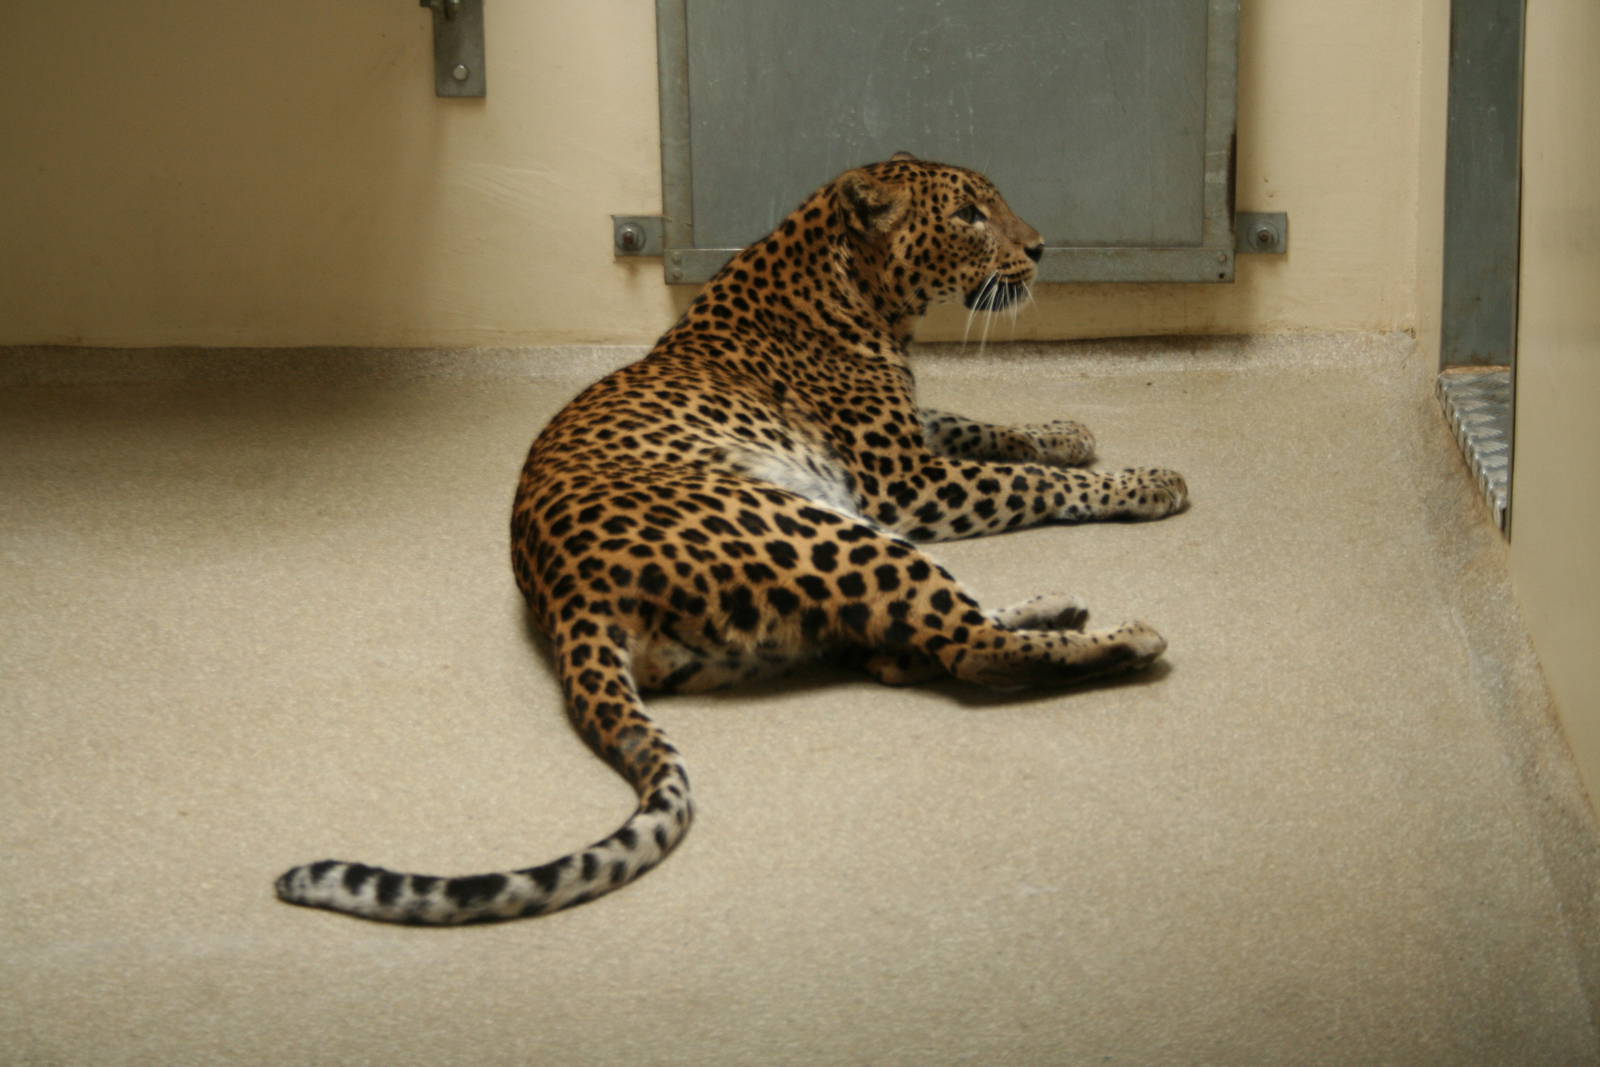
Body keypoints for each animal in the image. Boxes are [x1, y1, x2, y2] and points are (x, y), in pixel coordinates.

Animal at [275, 153, 1187, 924]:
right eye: (968, 213)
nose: (1039, 247)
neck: (852, 284)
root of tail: (566, 597)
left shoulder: (908, 444)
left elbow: (976, 422)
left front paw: (1067, 429)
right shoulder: (905, 482)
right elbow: (1031, 481)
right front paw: (1147, 482)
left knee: (902, 648)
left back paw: (1060, 605)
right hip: (823, 523)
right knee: (962, 647)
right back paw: (1127, 636)